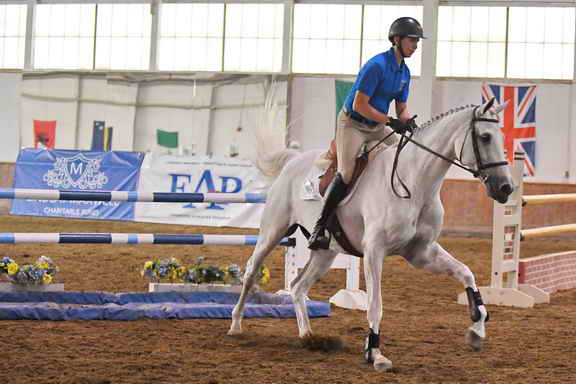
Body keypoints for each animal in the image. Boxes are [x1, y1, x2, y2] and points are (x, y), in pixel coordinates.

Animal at [228, 97, 512, 370]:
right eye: (485, 137)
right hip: (273, 231)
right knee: (252, 271)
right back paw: (236, 325)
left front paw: (477, 330)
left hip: (324, 253)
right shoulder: (375, 251)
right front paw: (375, 354)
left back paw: (308, 336)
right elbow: (376, 305)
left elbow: (466, 273)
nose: (506, 188)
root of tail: (292, 161)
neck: (415, 183)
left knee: (299, 287)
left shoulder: (422, 252)